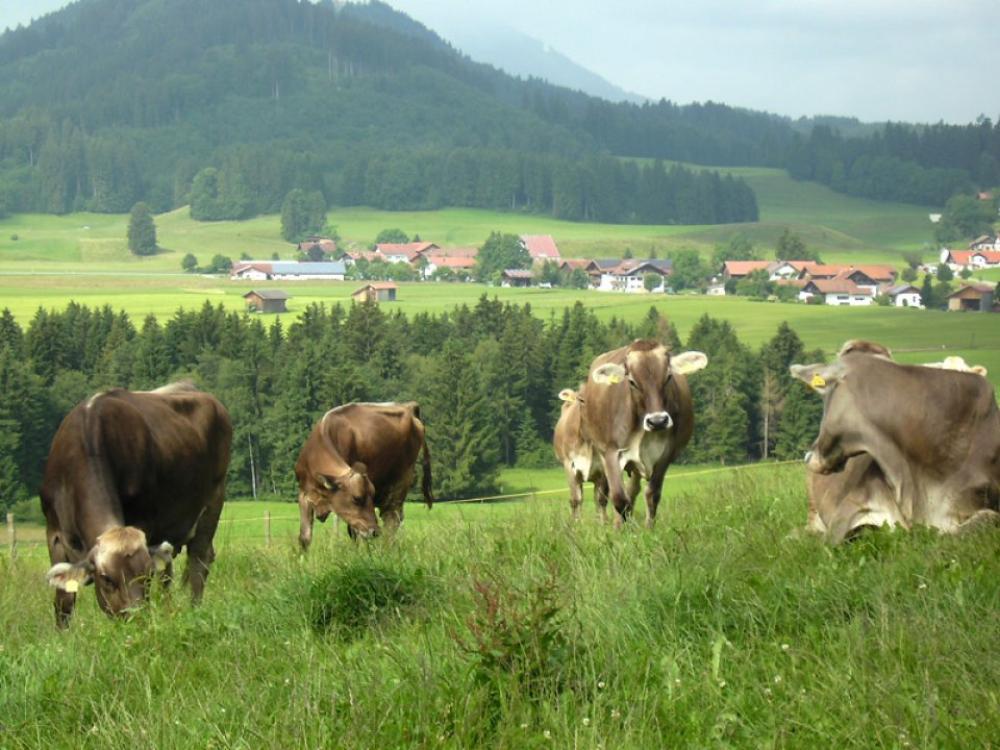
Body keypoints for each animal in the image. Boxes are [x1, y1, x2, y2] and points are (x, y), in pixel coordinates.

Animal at [41, 383, 232, 627]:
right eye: (106, 578)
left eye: (146, 574)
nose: (136, 619)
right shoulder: (53, 533)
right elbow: (64, 600)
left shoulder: (145, 522)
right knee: (169, 573)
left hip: (213, 500)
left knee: (198, 562)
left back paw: (194, 611)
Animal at [295, 402, 432, 548]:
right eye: (356, 498)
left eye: (371, 496)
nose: (375, 531)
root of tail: (408, 406)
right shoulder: (304, 495)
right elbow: (304, 537)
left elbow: (355, 533)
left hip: (401, 482)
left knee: (391, 520)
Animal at [580, 340, 708, 528]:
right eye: (632, 381)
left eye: (668, 377)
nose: (658, 421)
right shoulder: (611, 451)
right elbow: (619, 497)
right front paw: (623, 529)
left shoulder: (665, 454)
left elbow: (652, 494)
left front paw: (648, 528)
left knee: (633, 489)